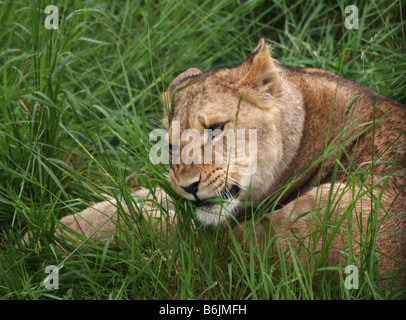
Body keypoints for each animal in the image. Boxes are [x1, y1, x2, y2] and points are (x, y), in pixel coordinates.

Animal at [39, 39, 404, 288]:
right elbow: (136, 200)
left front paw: (54, 236)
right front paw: (54, 228)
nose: (189, 187)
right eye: (171, 146)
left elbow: (151, 220)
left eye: (215, 129)